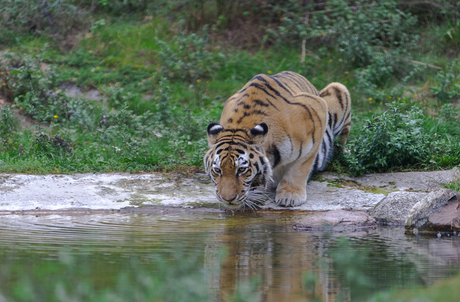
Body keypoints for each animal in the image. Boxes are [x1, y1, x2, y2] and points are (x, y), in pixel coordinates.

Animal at [203, 70, 350, 208]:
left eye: (241, 170)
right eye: (217, 170)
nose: (228, 199)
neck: (239, 126)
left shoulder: (317, 112)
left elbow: (300, 166)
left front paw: (290, 195)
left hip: (339, 89)